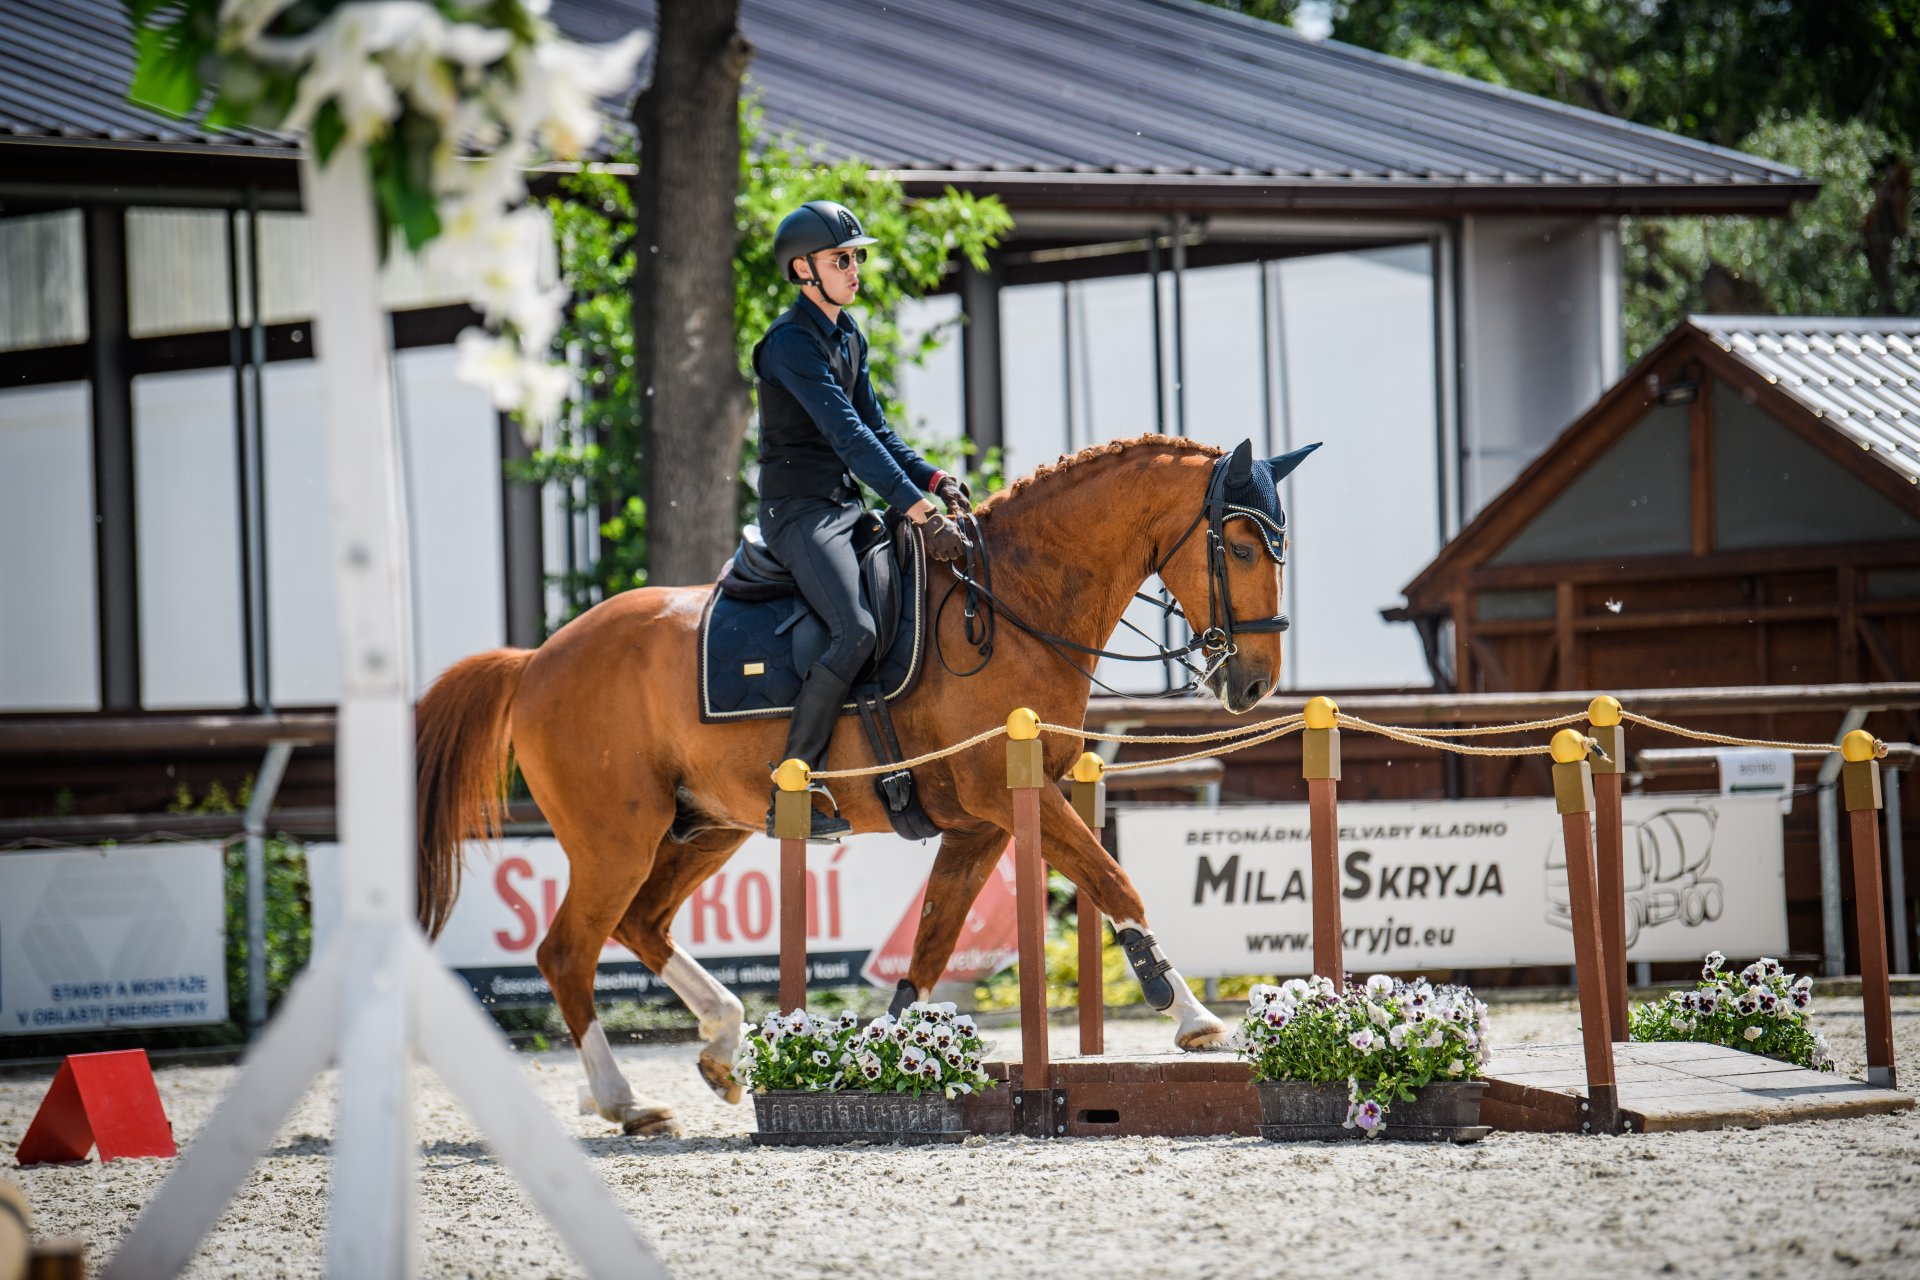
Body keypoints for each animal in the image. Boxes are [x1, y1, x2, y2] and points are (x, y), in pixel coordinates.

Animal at [414, 435, 1313, 1136]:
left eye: (1279, 551)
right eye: (1238, 547)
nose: (1255, 683)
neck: (1016, 602)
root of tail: (538, 658)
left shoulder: (980, 825)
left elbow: (931, 947)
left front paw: (882, 1054)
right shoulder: (1007, 799)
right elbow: (1112, 879)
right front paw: (1191, 1014)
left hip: (706, 826)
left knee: (641, 923)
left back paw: (720, 1043)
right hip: (615, 838)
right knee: (568, 952)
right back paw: (624, 1101)